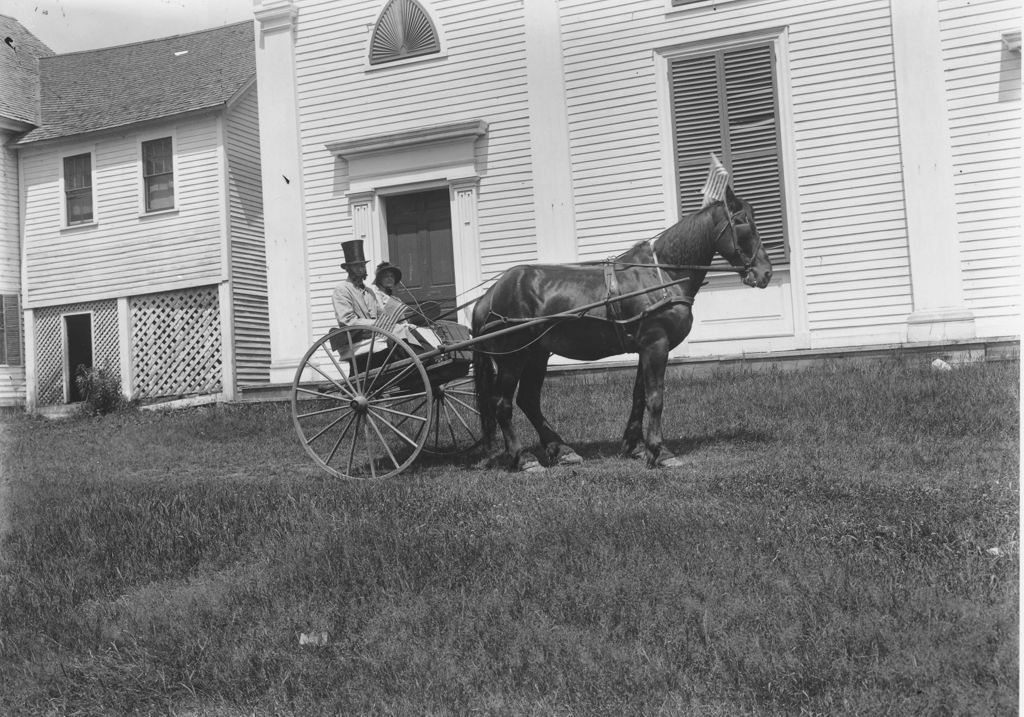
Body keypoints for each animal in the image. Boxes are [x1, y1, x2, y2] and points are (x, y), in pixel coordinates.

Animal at [471, 186, 774, 471]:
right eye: (742, 222)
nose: (765, 272)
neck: (662, 275)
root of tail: (488, 296)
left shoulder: (645, 347)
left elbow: (639, 396)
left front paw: (635, 446)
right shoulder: (656, 344)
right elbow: (655, 398)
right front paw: (659, 451)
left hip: (536, 354)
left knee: (529, 400)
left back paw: (562, 450)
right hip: (512, 357)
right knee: (502, 404)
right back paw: (522, 458)